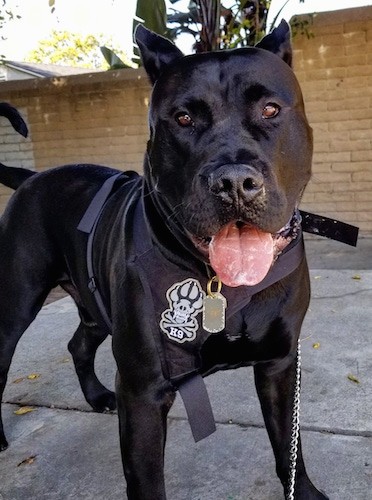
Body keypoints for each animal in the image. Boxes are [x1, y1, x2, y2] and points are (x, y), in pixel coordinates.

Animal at [0, 21, 326, 498]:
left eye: (270, 109)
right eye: (183, 118)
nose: (234, 181)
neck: (222, 286)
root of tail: (31, 176)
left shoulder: (280, 366)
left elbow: (290, 446)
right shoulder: (144, 393)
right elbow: (147, 481)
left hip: (95, 306)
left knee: (79, 343)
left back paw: (96, 396)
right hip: (15, 305)